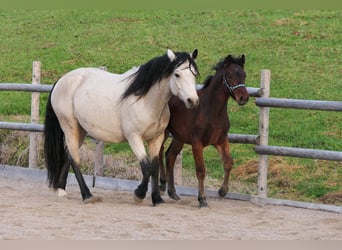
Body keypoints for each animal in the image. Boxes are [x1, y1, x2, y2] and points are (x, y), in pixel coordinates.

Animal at [44, 48, 199, 205]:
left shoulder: (156, 139)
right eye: (177, 74)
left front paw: (157, 199)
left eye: (194, 74)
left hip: (80, 131)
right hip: (70, 128)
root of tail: (62, 80)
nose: (192, 101)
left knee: (68, 155)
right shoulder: (134, 138)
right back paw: (87, 195)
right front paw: (138, 194)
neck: (145, 100)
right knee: (75, 160)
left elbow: (154, 168)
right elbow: (146, 168)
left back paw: (61, 190)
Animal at [159, 54, 250, 207]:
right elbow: (201, 170)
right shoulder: (197, 143)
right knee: (158, 152)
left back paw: (173, 192)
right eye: (229, 75)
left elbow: (228, 163)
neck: (211, 110)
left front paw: (222, 191)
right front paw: (202, 199)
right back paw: (161, 184)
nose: (243, 98)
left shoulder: (221, 140)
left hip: (179, 137)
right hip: (163, 132)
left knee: (170, 156)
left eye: (244, 75)